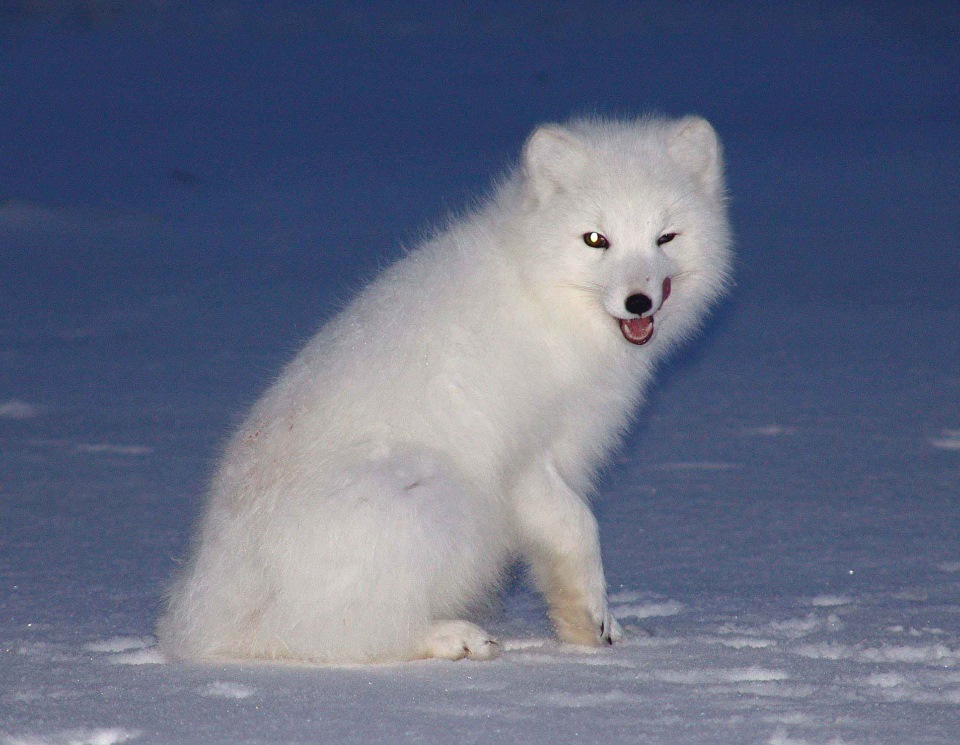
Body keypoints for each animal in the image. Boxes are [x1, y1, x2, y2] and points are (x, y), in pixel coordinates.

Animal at [158, 116, 732, 664]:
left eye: (666, 238)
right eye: (596, 240)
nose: (638, 302)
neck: (543, 293)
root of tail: (198, 617)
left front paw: (593, 627)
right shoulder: (523, 458)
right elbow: (579, 527)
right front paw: (588, 623)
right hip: (434, 496)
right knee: (336, 634)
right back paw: (452, 638)